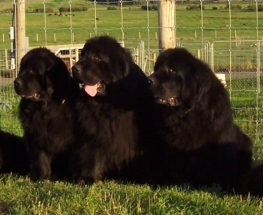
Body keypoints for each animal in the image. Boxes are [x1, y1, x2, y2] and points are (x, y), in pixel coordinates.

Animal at [13, 47, 80, 181]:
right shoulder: (36, 135)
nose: (15, 82)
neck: (47, 109)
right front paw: (42, 178)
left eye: (33, 70)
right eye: (22, 69)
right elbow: (40, 158)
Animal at [71, 35, 158, 185]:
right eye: (82, 55)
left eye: (96, 58)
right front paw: (86, 178)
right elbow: (90, 154)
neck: (108, 102)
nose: (74, 68)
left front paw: (148, 179)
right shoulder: (93, 131)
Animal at [147, 47, 255, 191]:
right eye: (157, 68)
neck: (187, 112)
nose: (149, 80)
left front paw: (222, 187)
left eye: (171, 70)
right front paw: (178, 184)